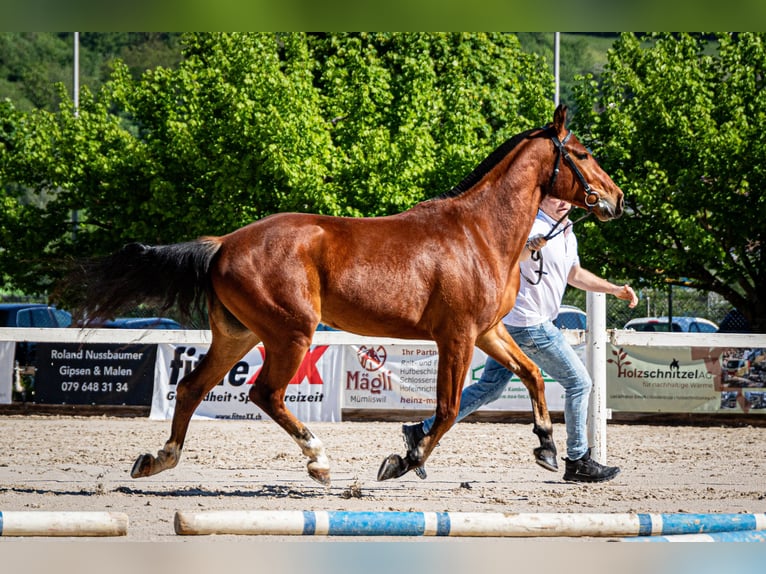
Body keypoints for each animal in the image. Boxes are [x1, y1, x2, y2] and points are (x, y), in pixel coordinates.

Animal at [58, 107, 624, 486]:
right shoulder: (457, 336)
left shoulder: (488, 331)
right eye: (584, 154)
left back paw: (159, 459)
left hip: (238, 335)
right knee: (265, 394)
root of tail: (223, 244)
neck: (478, 232)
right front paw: (405, 460)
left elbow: (531, 375)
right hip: (290, 333)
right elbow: (444, 409)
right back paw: (319, 461)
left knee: (194, 386)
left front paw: (547, 446)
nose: (618, 200)